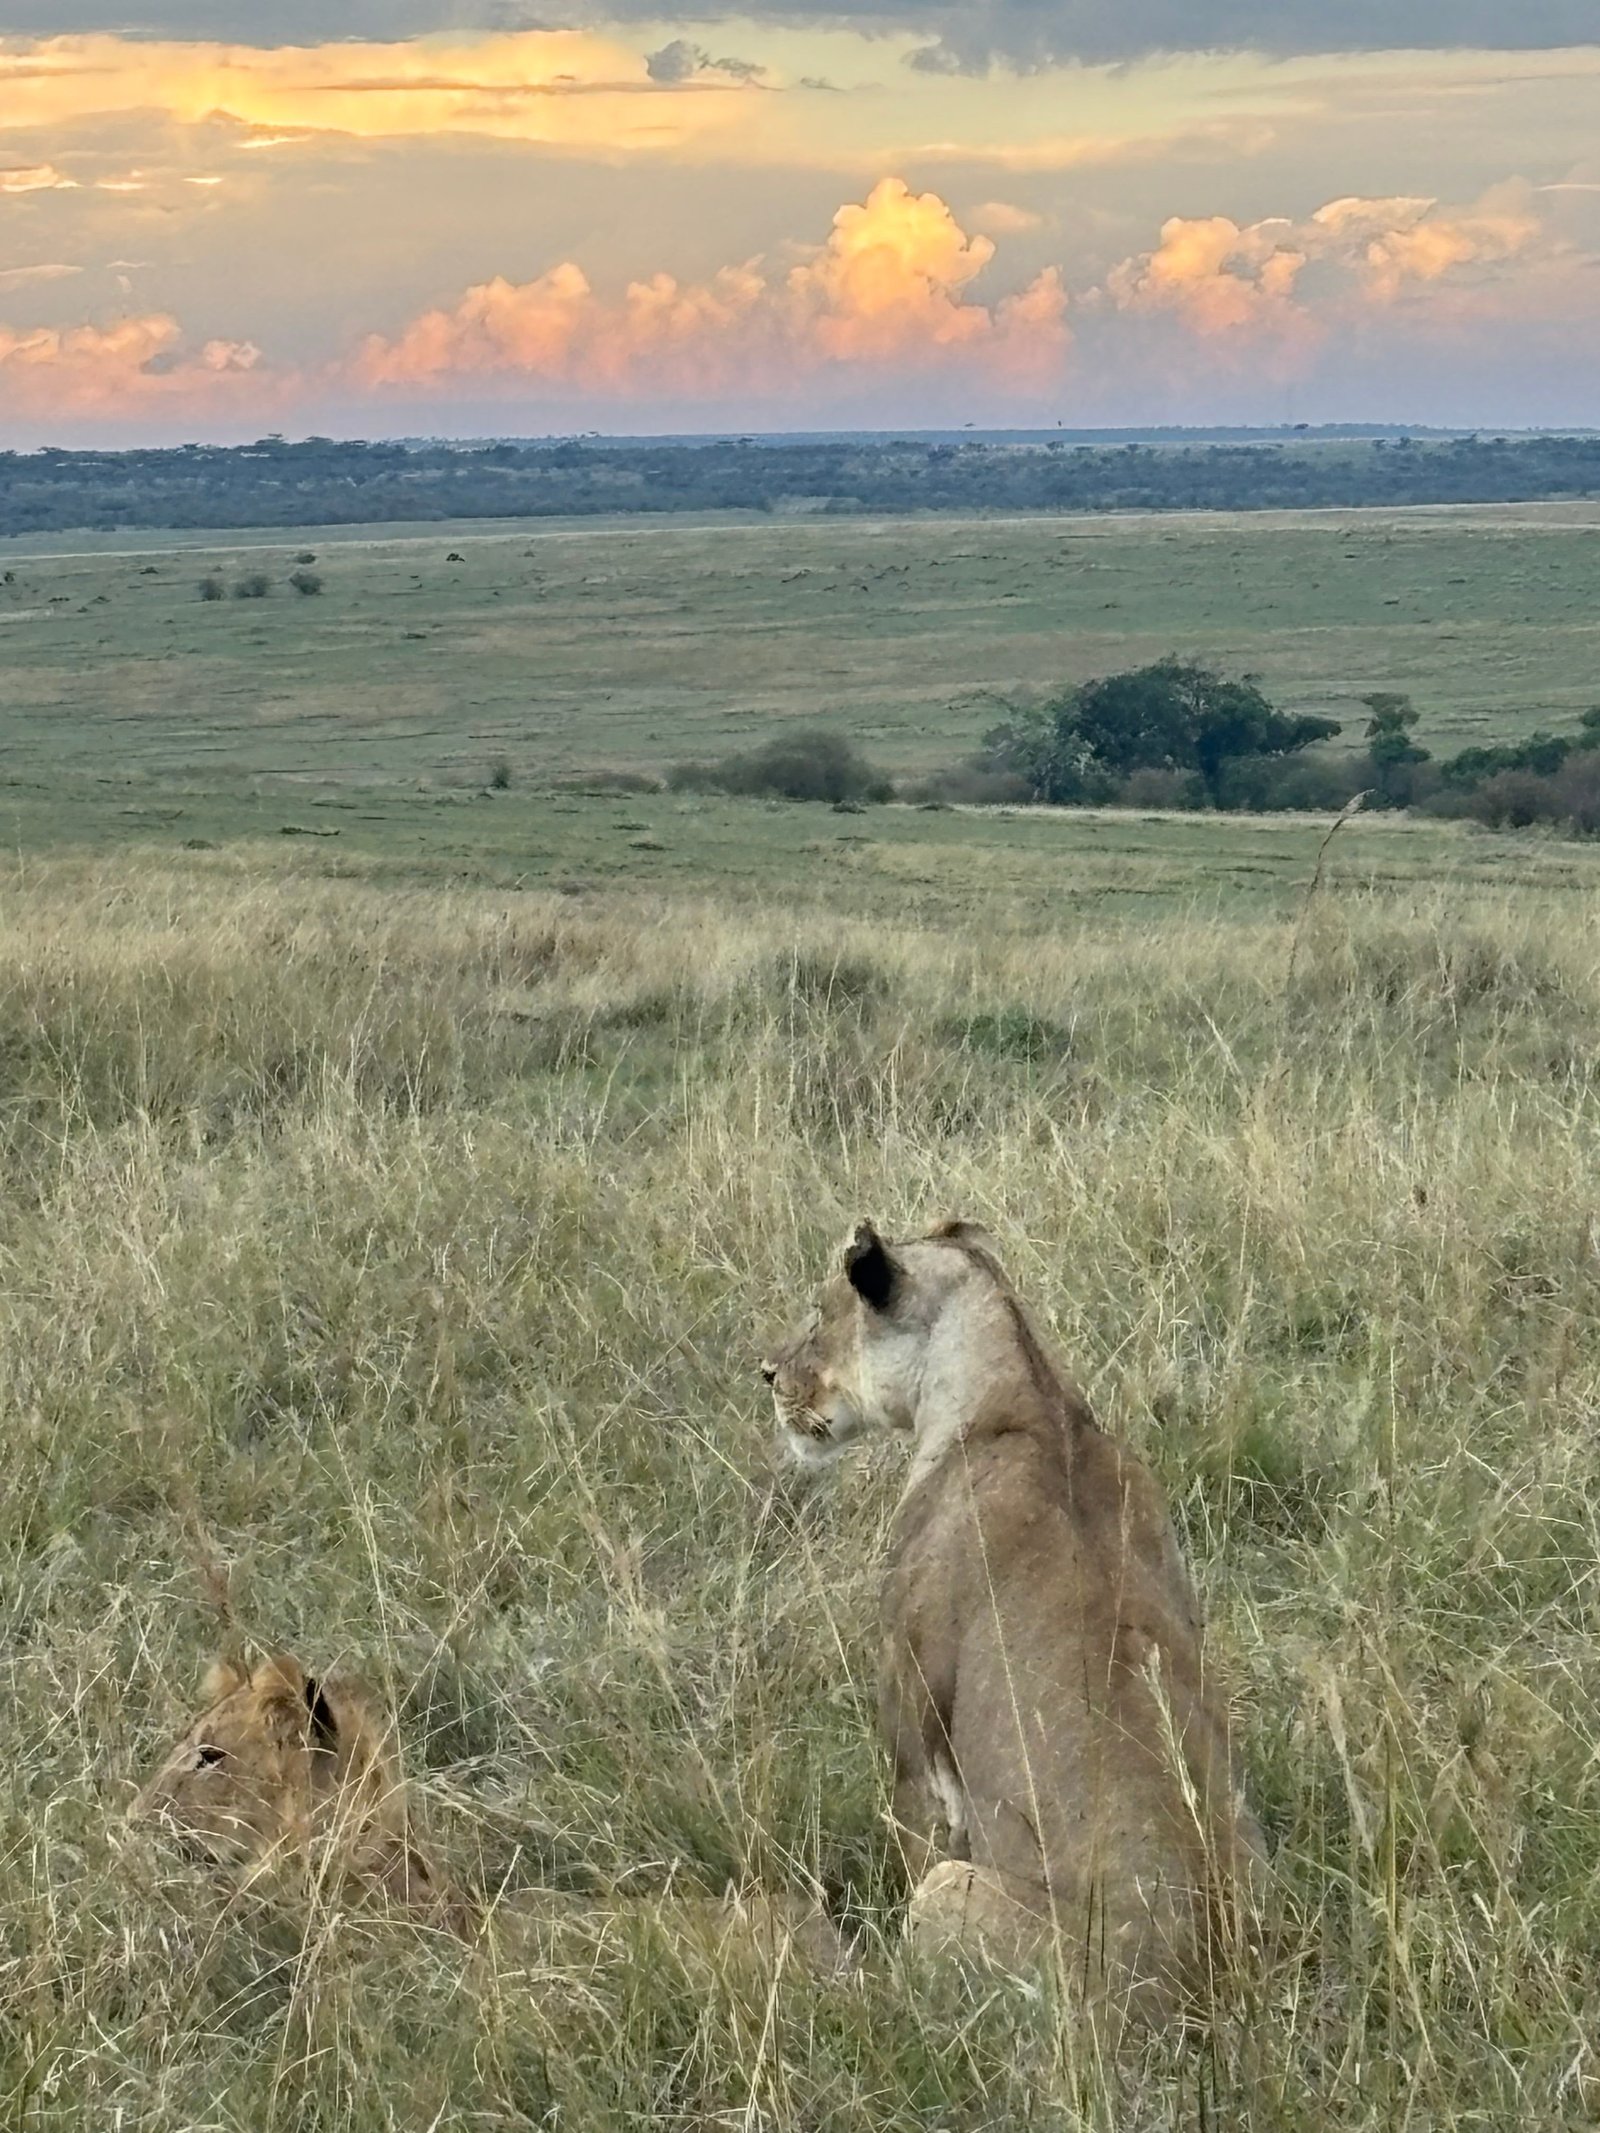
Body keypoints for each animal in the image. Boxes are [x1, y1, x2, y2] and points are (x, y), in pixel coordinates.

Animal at [762, 1219, 1268, 2027]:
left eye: (820, 1313)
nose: (768, 1373)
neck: (1028, 1391)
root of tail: (1204, 2003)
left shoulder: (911, 1737)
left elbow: (910, 1837)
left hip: (952, 1897)